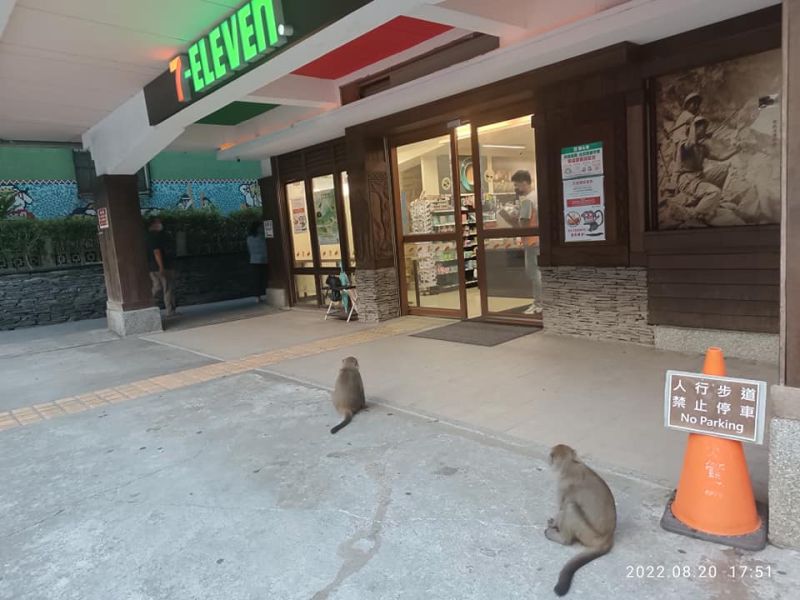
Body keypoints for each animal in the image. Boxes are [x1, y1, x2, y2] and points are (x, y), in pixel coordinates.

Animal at [548, 442, 616, 596]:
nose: (548, 459)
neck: (571, 465)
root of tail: (607, 538)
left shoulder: (562, 485)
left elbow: (562, 508)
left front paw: (554, 525)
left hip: (588, 534)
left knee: (570, 507)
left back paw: (562, 539)